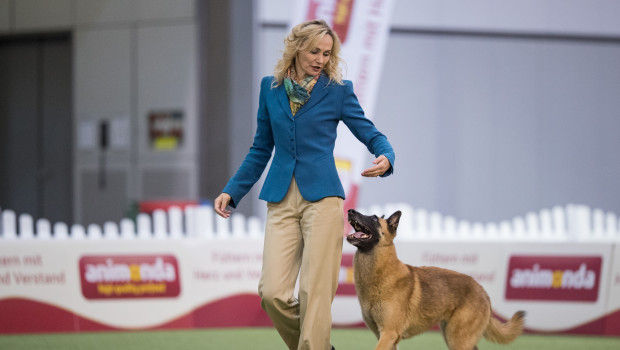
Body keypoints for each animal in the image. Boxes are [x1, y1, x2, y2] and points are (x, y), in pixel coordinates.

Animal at [346, 209, 524, 350]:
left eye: (375, 219)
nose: (350, 211)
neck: (380, 272)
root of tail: (482, 291)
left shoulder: (389, 334)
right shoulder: (385, 337)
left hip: (458, 339)